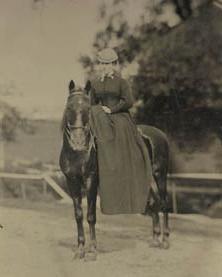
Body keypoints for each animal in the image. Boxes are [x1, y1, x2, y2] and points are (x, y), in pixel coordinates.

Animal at [59, 79, 169, 258]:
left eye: (88, 109)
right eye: (69, 107)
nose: (78, 142)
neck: (77, 153)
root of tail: (160, 134)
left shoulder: (91, 180)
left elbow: (91, 215)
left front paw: (92, 250)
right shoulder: (71, 181)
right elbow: (78, 215)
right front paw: (80, 249)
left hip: (160, 175)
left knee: (164, 203)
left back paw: (165, 240)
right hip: (147, 179)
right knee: (154, 203)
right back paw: (155, 239)